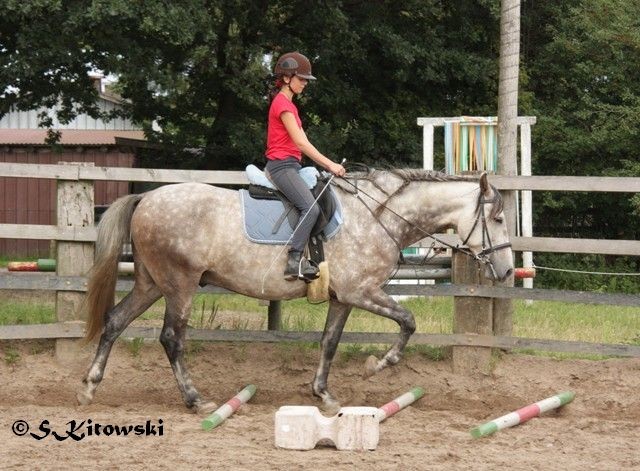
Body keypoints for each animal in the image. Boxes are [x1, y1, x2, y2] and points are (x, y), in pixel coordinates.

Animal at [77, 169, 512, 412]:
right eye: (498, 218)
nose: (507, 271)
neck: (378, 216)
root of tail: (146, 196)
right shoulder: (362, 292)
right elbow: (408, 320)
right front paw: (378, 364)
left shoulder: (342, 299)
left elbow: (330, 342)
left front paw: (324, 394)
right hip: (180, 285)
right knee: (171, 338)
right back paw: (195, 399)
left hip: (152, 283)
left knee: (114, 321)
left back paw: (90, 387)